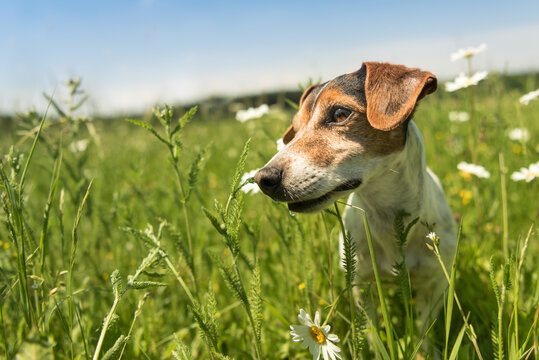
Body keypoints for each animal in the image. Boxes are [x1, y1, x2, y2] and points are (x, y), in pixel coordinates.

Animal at [255, 63, 458, 328]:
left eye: (341, 114)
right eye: (296, 129)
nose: (262, 179)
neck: (386, 216)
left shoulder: (434, 285)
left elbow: (422, 331)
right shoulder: (361, 283)